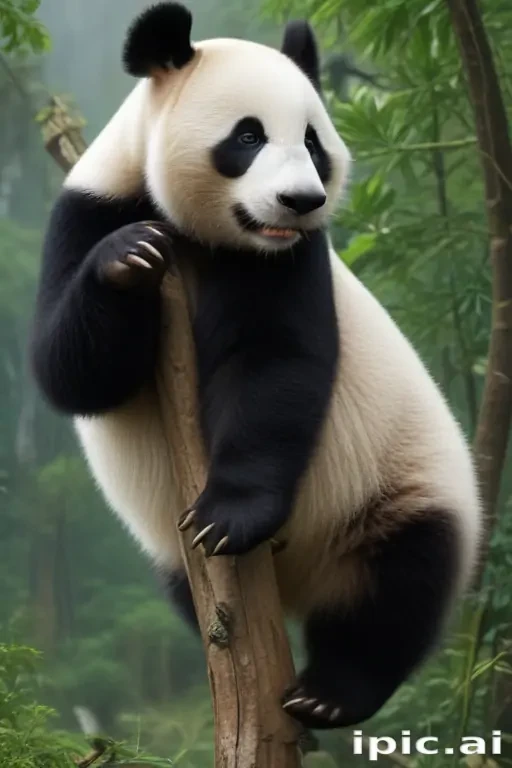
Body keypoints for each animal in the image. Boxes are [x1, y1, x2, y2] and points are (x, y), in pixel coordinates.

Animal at [31, 2, 482, 730]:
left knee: (402, 580)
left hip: (402, 484)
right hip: (165, 550)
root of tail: (297, 585)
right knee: (183, 583)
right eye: (247, 136)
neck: (214, 238)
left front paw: (228, 517)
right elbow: (67, 371)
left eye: (315, 143)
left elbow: (277, 366)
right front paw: (127, 258)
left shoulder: (291, 258)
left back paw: (330, 692)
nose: (301, 200)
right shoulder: (89, 206)